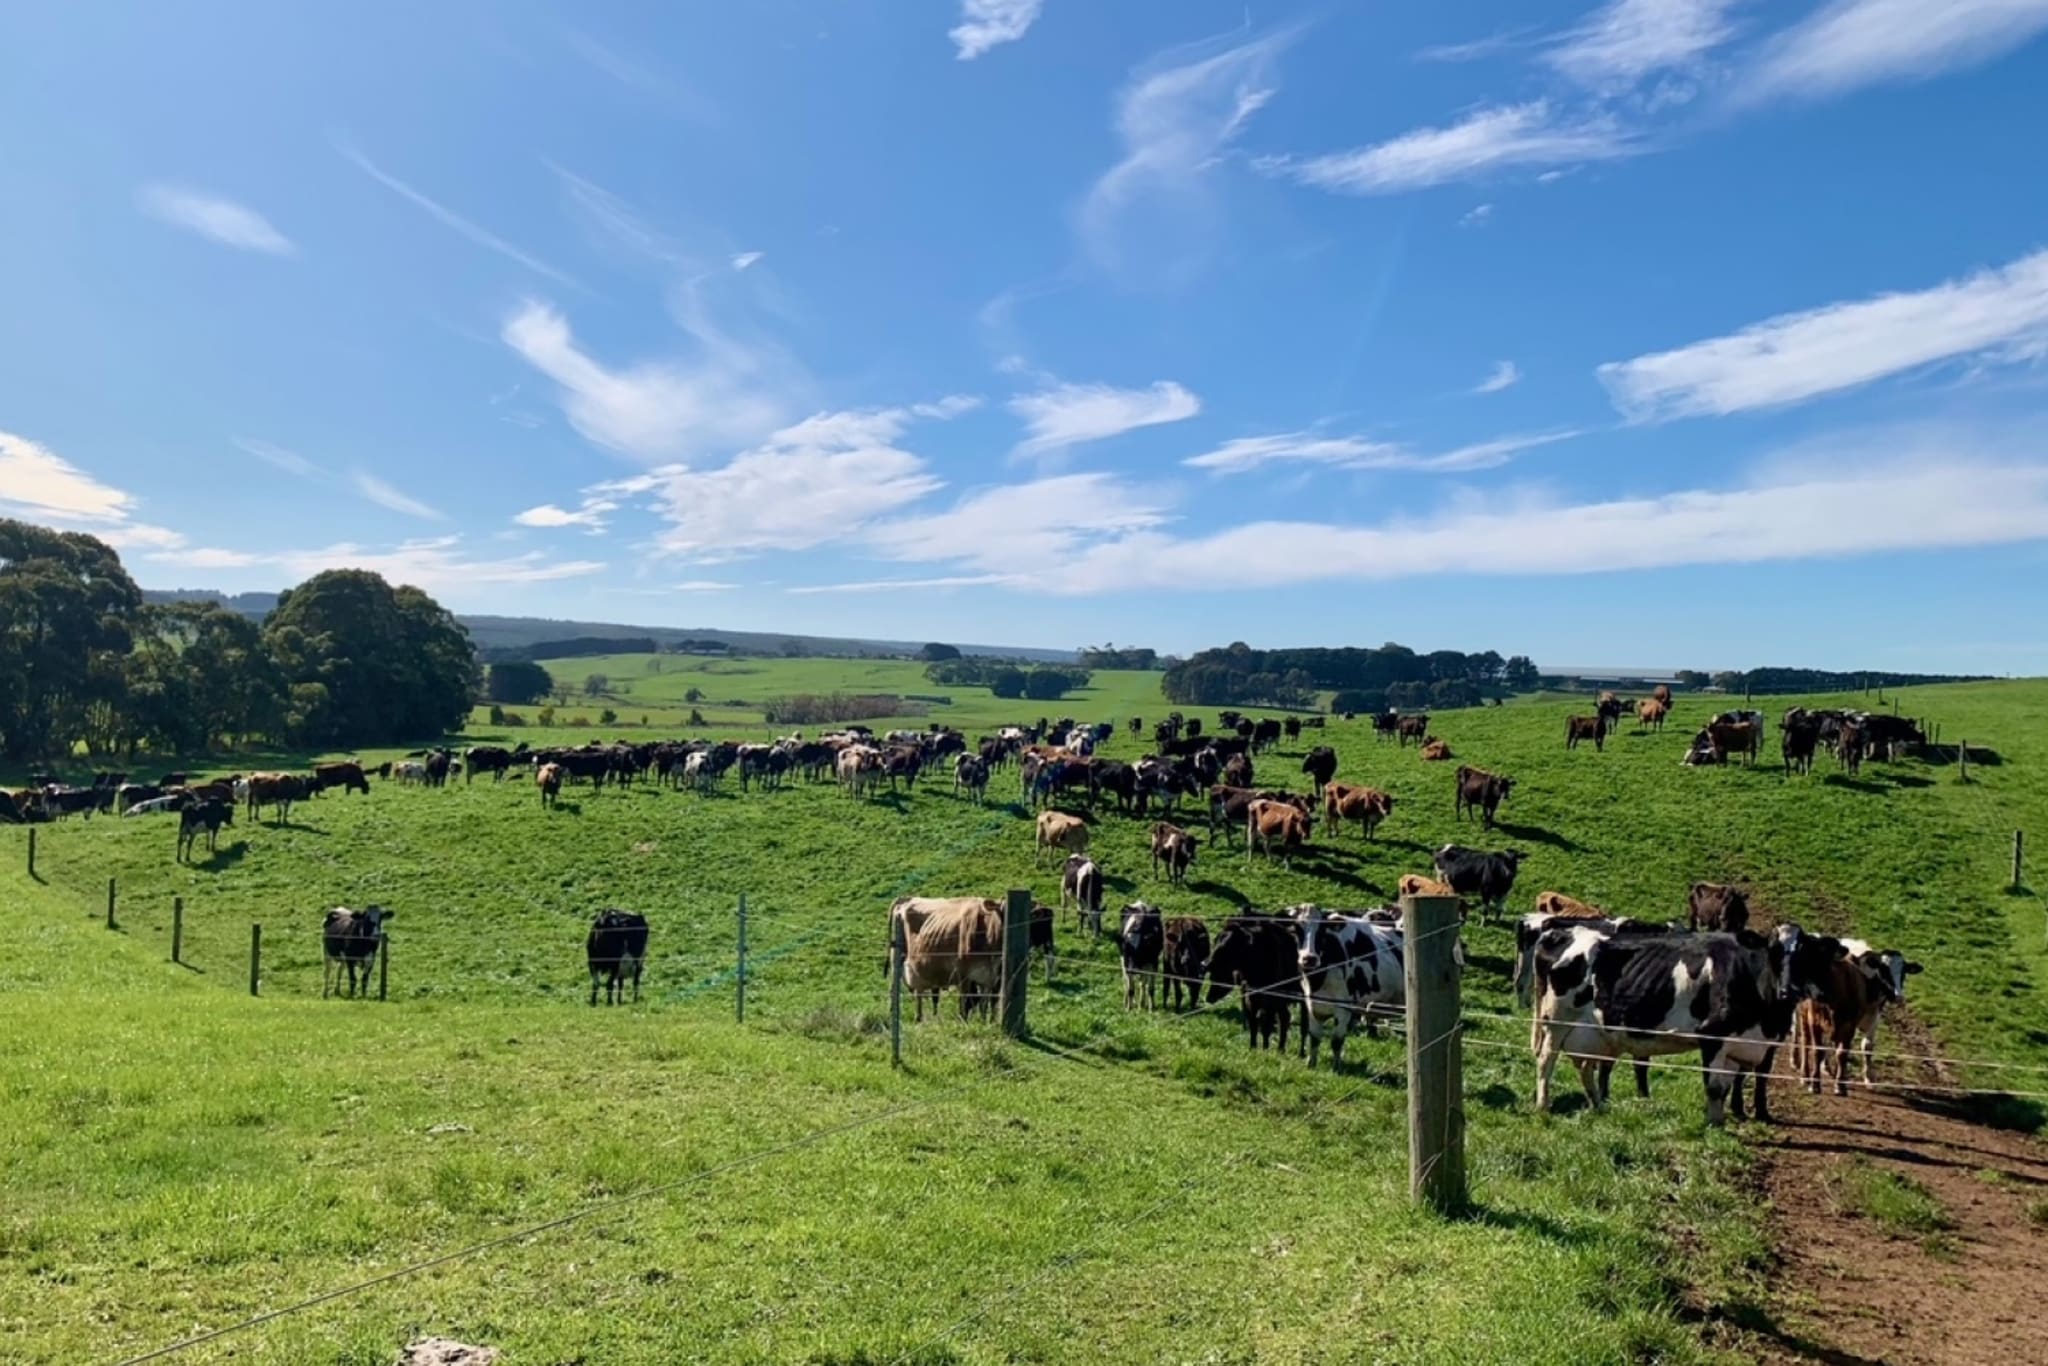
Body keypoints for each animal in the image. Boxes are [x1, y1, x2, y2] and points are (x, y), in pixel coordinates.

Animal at [1204, 914, 1300, 1052]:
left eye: (1227, 945)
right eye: (1216, 940)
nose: (1206, 963)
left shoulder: (1271, 999)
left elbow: (1265, 1025)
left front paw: (1265, 1049)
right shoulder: (1249, 996)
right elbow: (1253, 1024)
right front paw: (1252, 1047)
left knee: (1283, 1017)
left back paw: (1281, 1048)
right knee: (1283, 1016)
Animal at [1294, 906, 1407, 1070]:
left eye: (1322, 930)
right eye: (1297, 929)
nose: (1309, 959)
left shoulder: (1344, 1008)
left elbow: (1336, 1041)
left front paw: (1336, 1068)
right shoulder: (1312, 1005)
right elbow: (1314, 1037)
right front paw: (1311, 1064)